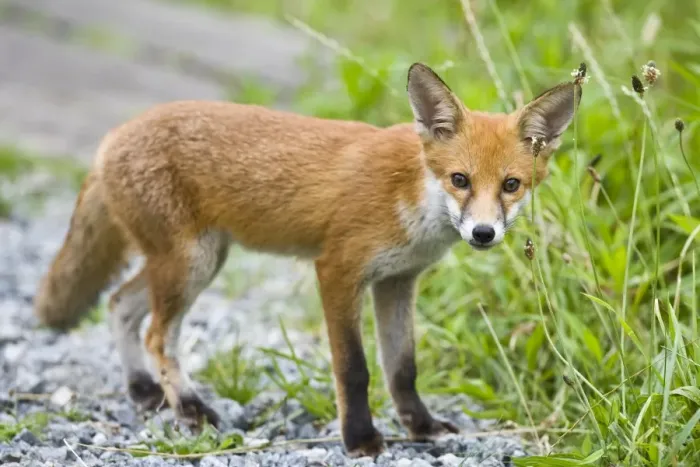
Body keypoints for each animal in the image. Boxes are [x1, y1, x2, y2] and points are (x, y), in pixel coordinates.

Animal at [33, 62, 581, 457]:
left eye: (511, 185)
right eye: (460, 180)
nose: (483, 233)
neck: (411, 196)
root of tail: (113, 136)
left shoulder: (397, 282)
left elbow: (402, 369)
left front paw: (421, 426)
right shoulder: (338, 271)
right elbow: (355, 370)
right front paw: (360, 439)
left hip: (196, 262)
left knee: (118, 304)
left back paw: (143, 391)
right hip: (190, 264)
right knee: (155, 335)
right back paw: (187, 408)